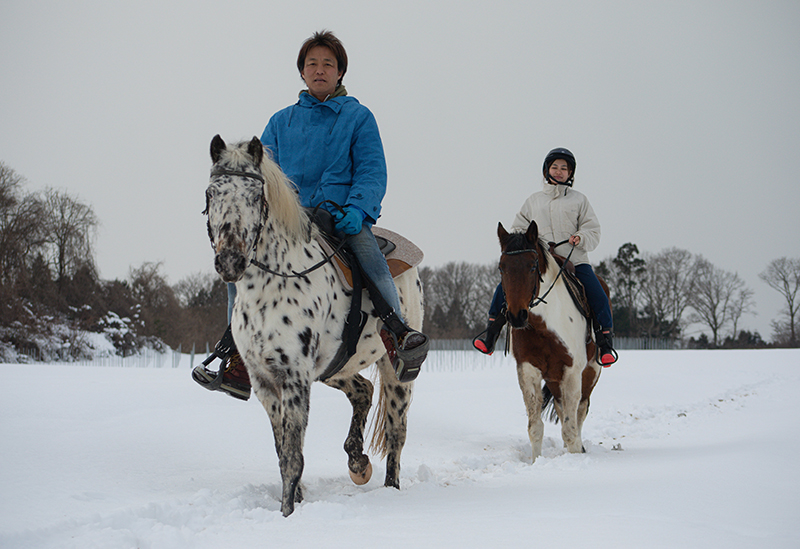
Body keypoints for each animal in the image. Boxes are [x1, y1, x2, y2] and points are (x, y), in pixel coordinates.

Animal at [204, 135, 423, 516]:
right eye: (212, 193)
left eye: (256, 195)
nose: (230, 261)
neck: (272, 285)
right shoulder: (265, 381)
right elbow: (282, 452)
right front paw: (295, 502)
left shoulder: (294, 377)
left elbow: (293, 457)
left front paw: (288, 513)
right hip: (336, 367)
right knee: (363, 391)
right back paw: (357, 461)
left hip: (396, 372)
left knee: (397, 433)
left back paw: (390, 488)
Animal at [497, 220, 602, 462]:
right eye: (502, 267)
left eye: (532, 266)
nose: (517, 316)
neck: (544, 324)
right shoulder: (528, 370)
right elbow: (535, 428)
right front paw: (537, 462)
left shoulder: (573, 371)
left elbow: (571, 429)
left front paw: (575, 456)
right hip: (555, 380)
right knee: (562, 409)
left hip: (590, 374)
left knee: (580, 411)